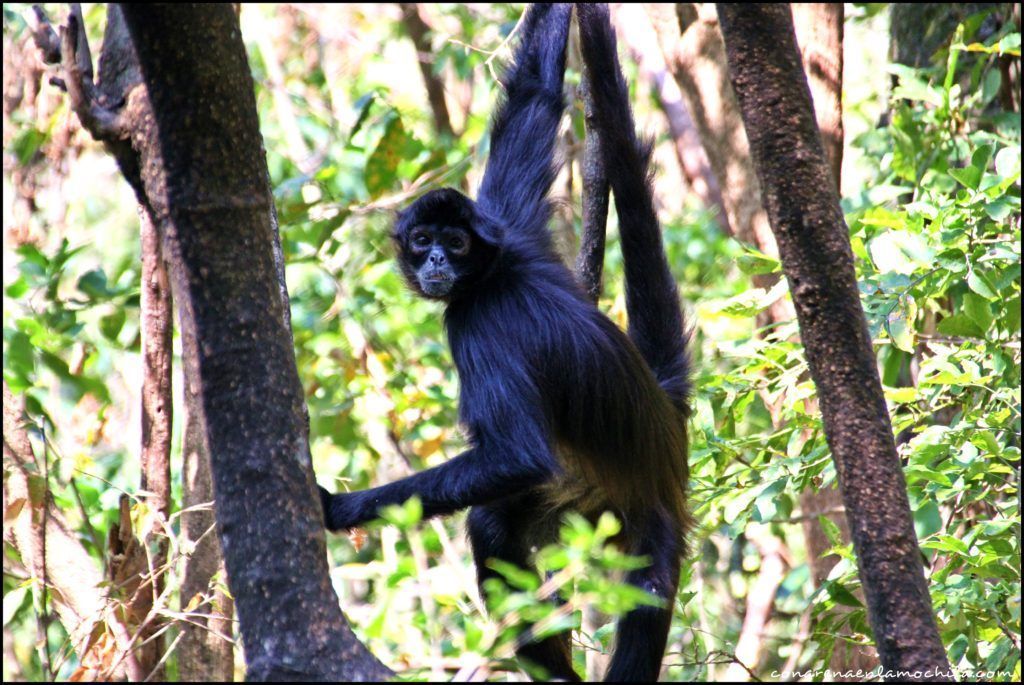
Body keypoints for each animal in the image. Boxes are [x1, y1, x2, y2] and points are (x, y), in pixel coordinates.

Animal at [319, 3, 688, 679]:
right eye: (423, 241)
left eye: (455, 244)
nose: (437, 259)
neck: (495, 270)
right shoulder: (511, 223)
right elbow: (535, 92)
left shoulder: (478, 322)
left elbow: (517, 453)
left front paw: (342, 509)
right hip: (585, 505)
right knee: (496, 524)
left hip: (644, 524)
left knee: (636, 589)